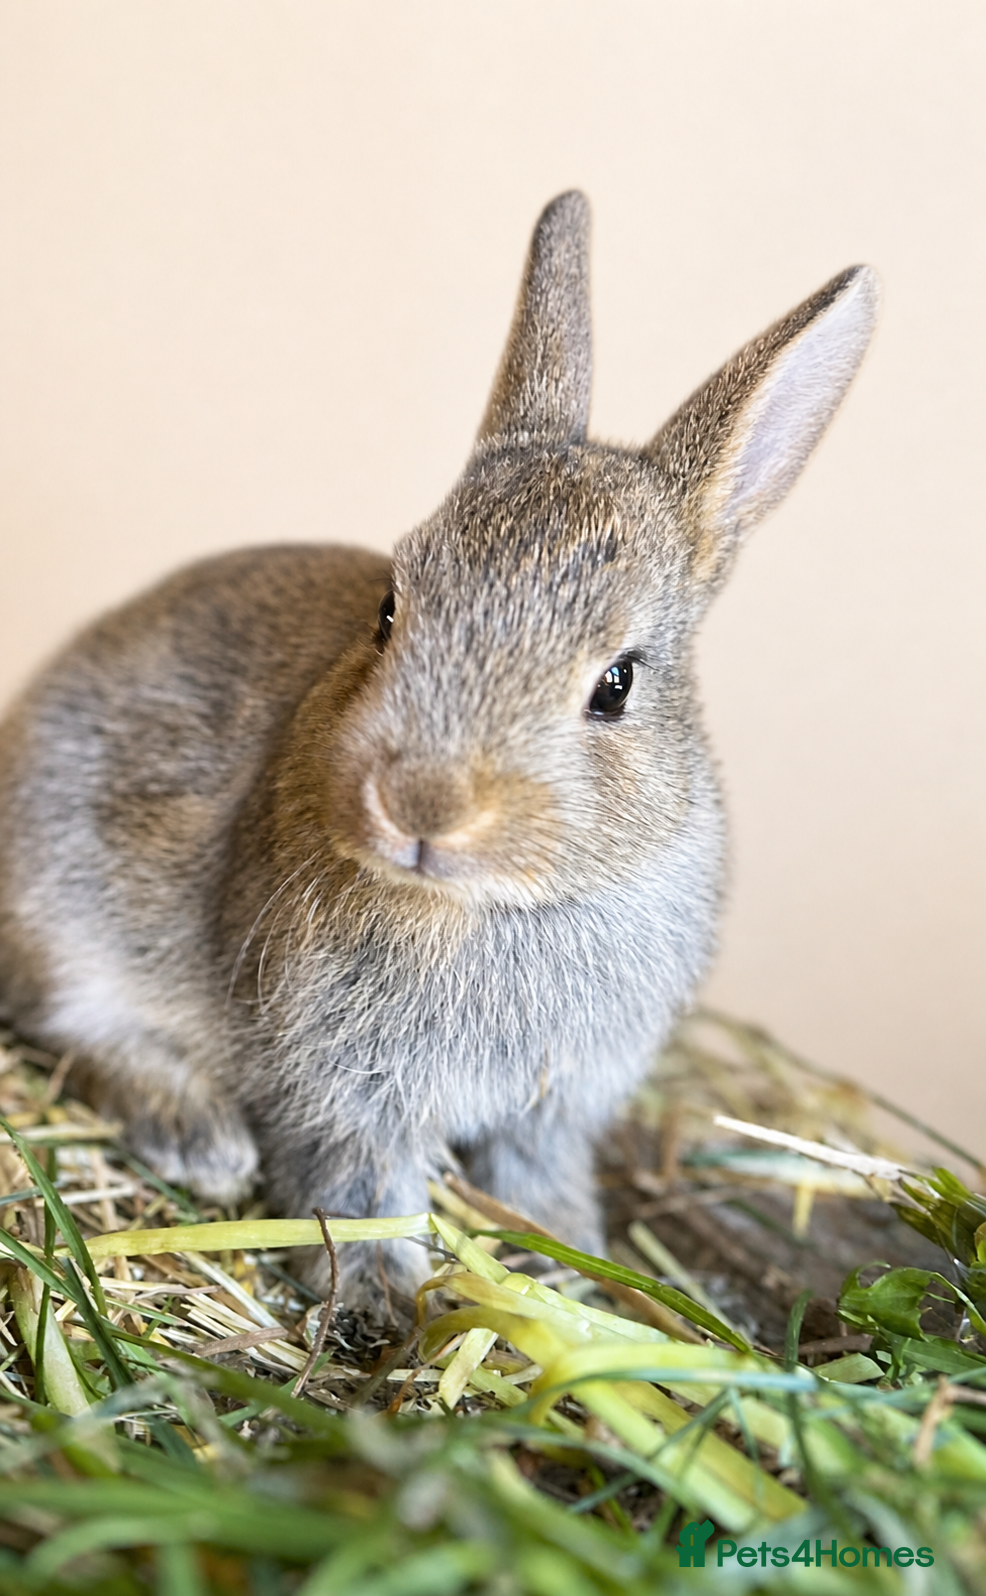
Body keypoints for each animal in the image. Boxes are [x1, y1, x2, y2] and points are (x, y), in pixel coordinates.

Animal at [0, 192, 879, 1315]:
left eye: (617, 683)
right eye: (390, 608)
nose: (419, 805)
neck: (492, 907)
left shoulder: (553, 1106)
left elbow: (540, 1190)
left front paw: (574, 1272)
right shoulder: (338, 1088)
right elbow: (361, 1192)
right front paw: (379, 1305)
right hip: (58, 901)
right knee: (71, 1026)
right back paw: (199, 1140)